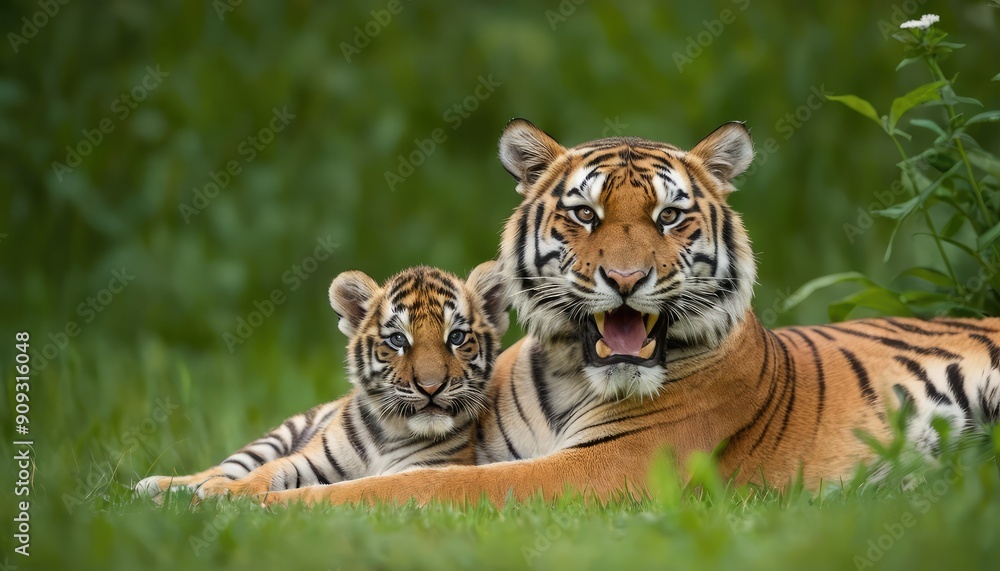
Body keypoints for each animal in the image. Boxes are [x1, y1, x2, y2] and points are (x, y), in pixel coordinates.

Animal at [135, 262, 508, 499]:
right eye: (398, 340)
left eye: (456, 337)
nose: (431, 387)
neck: (391, 432)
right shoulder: (307, 460)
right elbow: (263, 473)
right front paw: (218, 490)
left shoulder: (423, 469)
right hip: (273, 438)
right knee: (221, 467)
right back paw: (155, 485)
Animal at [255, 118, 1000, 508]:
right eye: (585, 214)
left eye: (669, 217)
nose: (624, 279)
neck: (569, 374)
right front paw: (229, 489)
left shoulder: (600, 468)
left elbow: (418, 488)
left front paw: (271, 508)